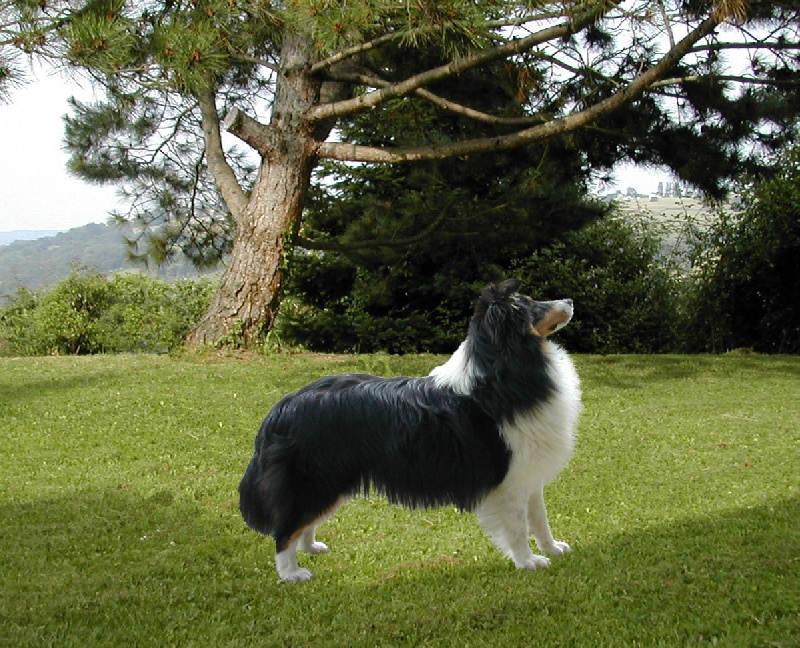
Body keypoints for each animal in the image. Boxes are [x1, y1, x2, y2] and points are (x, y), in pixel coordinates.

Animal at [238, 280, 580, 584]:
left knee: (304, 521)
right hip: (315, 480)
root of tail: (282, 408)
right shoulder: (508, 481)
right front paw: (529, 562)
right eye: (531, 305)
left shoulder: (528, 473)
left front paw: (553, 549)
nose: (570, 300)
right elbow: (519, 527)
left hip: (331, 481)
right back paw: (292, 573)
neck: (505, 368)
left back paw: (311, 548)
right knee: (285, 529)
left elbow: (540, 520)